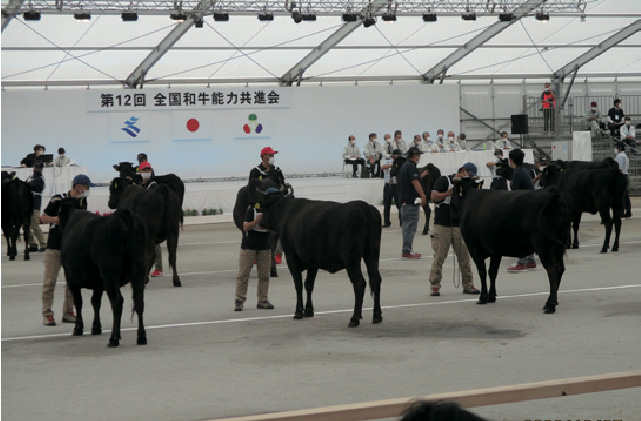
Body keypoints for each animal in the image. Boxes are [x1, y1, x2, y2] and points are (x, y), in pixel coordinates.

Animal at [60, 208, 148, 348]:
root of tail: (123, 215)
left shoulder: (71, 279)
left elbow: (79, 302)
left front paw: (78, 328)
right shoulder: (98, 282)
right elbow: (96, 302)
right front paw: (96, 327)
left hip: (109, 274)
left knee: (117, 301)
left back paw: (114, 338)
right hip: (139, 271)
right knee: (139, 301)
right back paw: (141, 337)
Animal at [249, 179, 380, 326]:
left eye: (262, 206)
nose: (259, 222)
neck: (286, 212)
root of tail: (363, 206)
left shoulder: (291, 256)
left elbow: (298, 285)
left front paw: (298, 312)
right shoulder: (312, 261)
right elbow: (309, 284)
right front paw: (309, 310)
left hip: (351, 258)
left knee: (359, 283)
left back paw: (355, 318)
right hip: (372, 254)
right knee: (376, 279)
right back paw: (377, 315)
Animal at [450, 176, 568, 312]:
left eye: (454, 191)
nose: (450, 204)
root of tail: (552, 191)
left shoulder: (474, 247)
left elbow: (482, 272)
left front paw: (483, 297)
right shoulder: (495, 250)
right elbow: (492, 272)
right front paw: (491, 297)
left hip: (544, 245)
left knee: (552, 270)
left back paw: (550, 305)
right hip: (559, 245)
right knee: (560, 268)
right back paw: (552, 302)